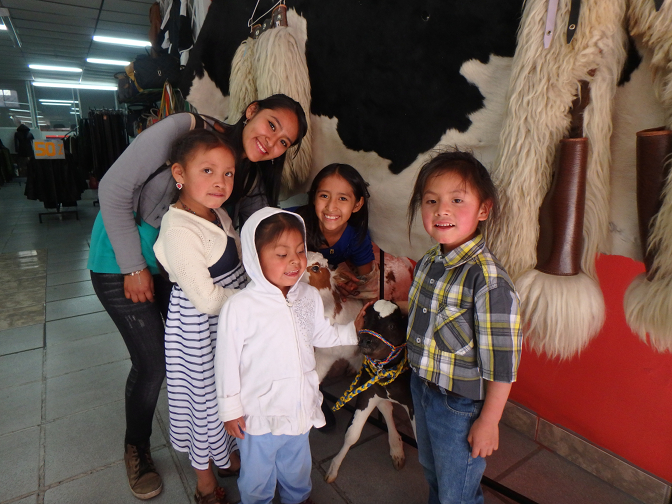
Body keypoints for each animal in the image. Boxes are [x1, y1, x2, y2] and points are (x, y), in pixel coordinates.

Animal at [326, 300, 414, 484]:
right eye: (365, 320)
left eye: (392, 325)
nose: (365, 340)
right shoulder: (367, 392)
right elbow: (352, 434)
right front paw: (334, 467)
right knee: (387, 408)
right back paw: (396, 447)